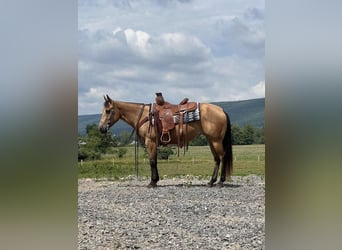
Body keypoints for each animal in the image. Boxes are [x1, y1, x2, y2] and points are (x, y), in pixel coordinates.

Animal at [97, 94, 234, 188]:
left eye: (108, 111)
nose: (101, 128)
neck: (144, 116)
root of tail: (221, 110)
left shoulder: (150, 142)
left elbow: (152, 161)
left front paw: (152, 182)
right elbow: (155, 161)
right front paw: (155, 180)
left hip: (216, 140)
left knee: (223, 157)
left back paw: (220, 182)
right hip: (211, 140)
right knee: (216, 159)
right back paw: (211, 182)